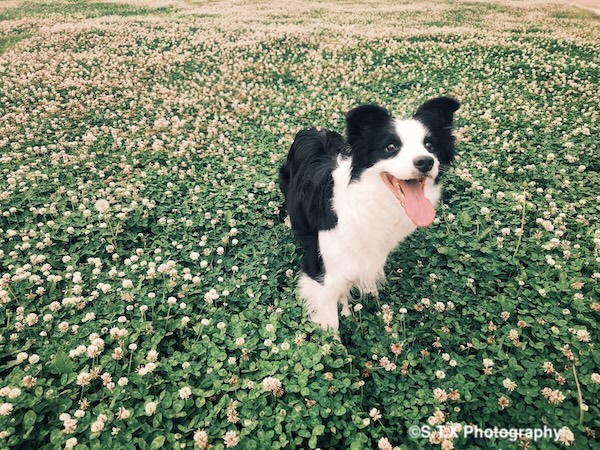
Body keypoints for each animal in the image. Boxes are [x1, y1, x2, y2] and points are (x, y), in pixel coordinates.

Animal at [280, 97, 460, 330]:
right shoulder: (321, 273)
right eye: (390, 147)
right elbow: (331, 324)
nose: (426, 161)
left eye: (430, 145)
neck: (367, 200)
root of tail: (312, 129)